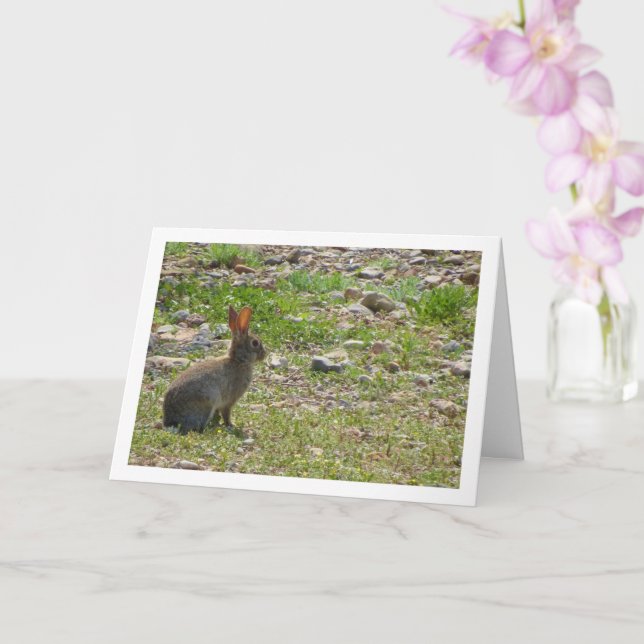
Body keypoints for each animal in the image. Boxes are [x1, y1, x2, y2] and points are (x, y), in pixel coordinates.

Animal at [163, 305, 266, 433]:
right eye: (255, 343)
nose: (265, 354)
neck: (238, 360)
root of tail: (170, 420)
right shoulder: (229, 401)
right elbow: (226, 414)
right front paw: (231, 425)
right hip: (207, 403)